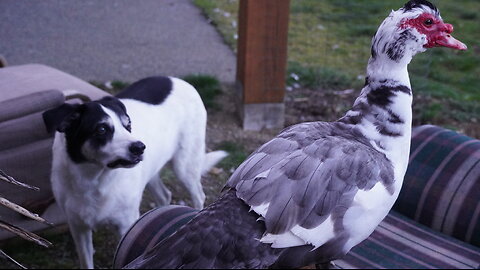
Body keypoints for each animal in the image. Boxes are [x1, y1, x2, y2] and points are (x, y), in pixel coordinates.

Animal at [42, 76, 227, 268]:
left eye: (128, 125)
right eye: (101, 129)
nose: (140, 147)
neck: (94, 178)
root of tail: (179, 80)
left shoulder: (127, 224)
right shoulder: (78, 226)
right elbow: (86, 261)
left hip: (184, 166)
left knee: (198, 194)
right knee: (164, 195)